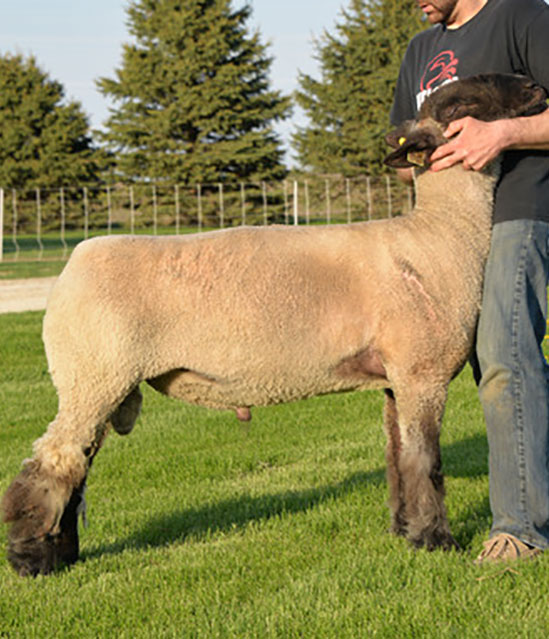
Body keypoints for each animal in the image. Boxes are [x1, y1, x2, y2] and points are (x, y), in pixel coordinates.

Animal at [3, 72, 544, 576]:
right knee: (52, 462)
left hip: (99, 382)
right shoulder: (422, 371)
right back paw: (32, 561)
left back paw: (62, 553)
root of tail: (74, 263)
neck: (438, 239)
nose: (536, 88)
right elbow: (424, 461)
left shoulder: (396, 377)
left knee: (76, 466)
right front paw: (435, 542)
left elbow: (396, 458)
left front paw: (404, 531)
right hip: (93, 374)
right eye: (463, 102)